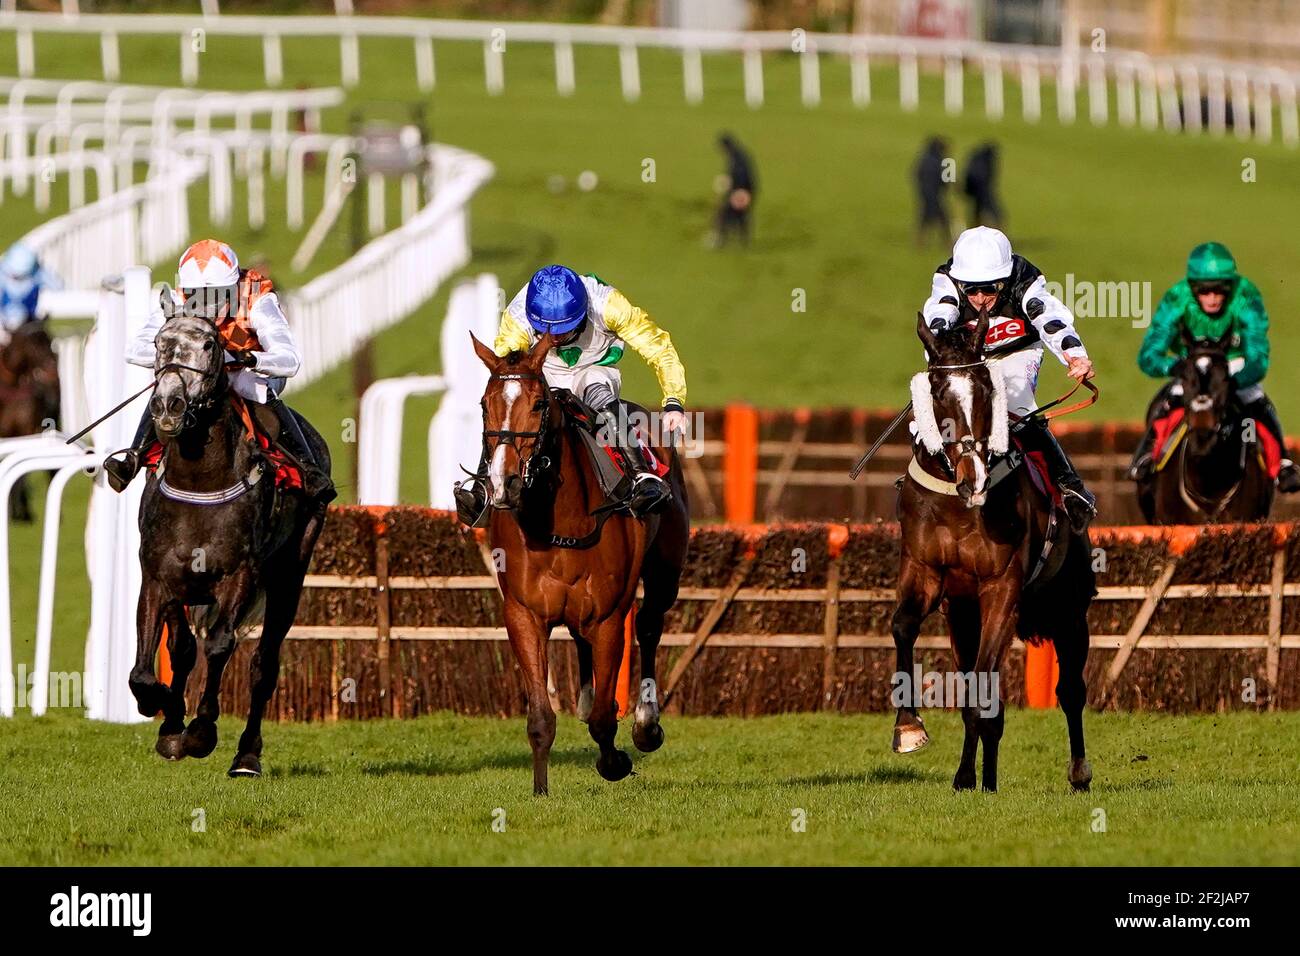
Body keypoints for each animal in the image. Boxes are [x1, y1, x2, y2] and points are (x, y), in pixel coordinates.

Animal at [126, 314, 330, 780]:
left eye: (208, 345)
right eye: (160, 343)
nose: (168, 406)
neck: (199, 481)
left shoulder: (240, 575)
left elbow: (219, 645)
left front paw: (200, 732)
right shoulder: (159, 578)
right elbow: (153, 665)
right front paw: (167, 719)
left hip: (290, 577)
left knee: (264, 665)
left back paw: (246, 757)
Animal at [470, 332, 691, 796]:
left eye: (539, 404)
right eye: (484, 404)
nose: (503, 482)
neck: (560, 523)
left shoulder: (609, 616)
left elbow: (605, 720)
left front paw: (615, 761)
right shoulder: (523, 614)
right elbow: (540, 717)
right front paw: (540, 789)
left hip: (665, 571)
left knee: (649, 626)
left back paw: (646, 724)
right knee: (580, 639)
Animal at [889, 312, 1092, 790]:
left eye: (986, 388)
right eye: (938, 391)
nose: (974, 478)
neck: (957, 501)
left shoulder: (1001, 588)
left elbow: (984, 682)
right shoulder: (926, 574)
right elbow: (904, 627)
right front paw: (909, 728)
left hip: (1068, 607)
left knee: (1071, 691)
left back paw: (1078, 772)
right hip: (964, 613)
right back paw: (981, 778)